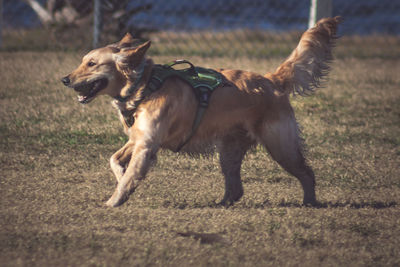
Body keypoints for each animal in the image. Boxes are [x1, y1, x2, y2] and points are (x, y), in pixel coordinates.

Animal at [61, 16, 340, 208]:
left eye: (92, 63)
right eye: (83, 61)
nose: (64, 79)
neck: (145, 86)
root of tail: (272, 80)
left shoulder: (146, 144)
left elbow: (130, 177)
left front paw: (113, 201)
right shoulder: (137, 139)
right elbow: (115, 160)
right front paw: (120, 176)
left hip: (281, 146)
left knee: (307, 173)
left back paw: (310, 202)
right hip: (229, 152)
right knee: (236, 188)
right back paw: (222, 203)